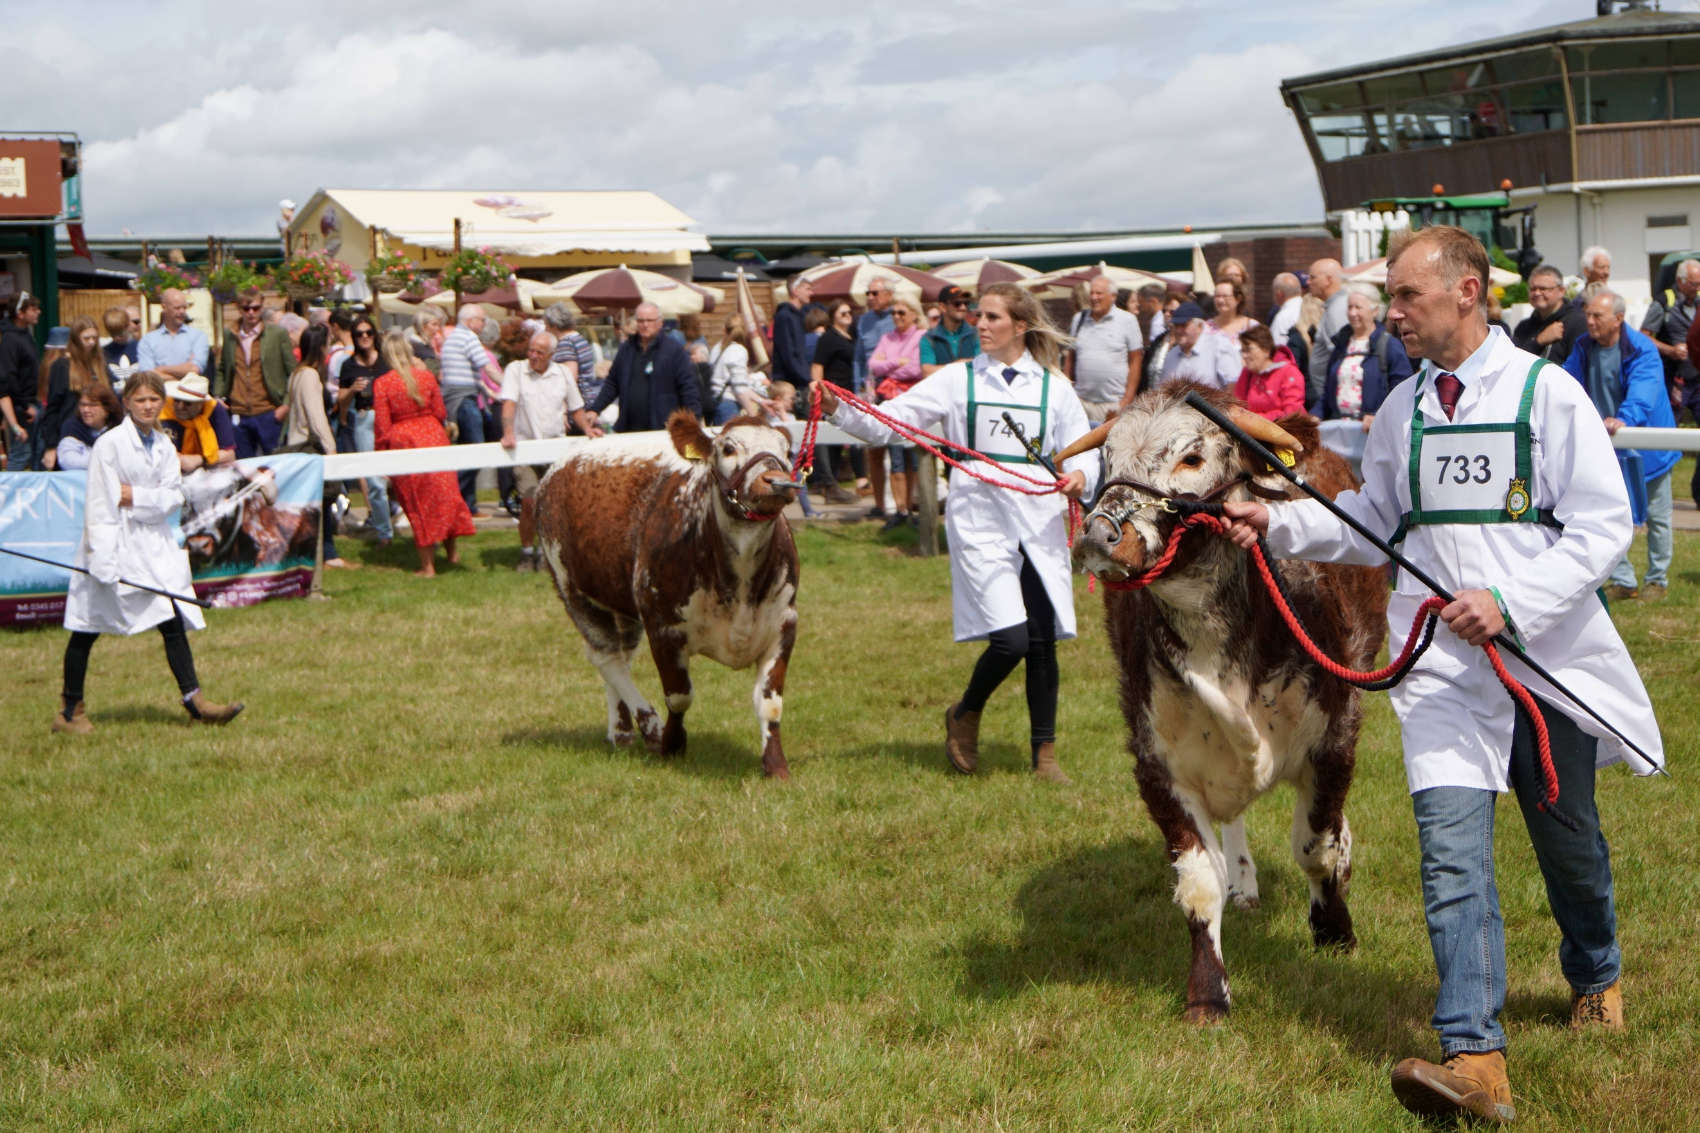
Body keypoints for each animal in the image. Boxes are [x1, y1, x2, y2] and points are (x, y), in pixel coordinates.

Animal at [537, 413, 802, 775]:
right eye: (729, 448)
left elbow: (770, 703)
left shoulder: (784, 624)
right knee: (607, 658)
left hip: (623, 605)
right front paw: (672, 744)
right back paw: (648, 727)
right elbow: (679, 696)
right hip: (573, 591)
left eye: (787, 450)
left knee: (619, 658)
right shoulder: (662, 626)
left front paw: (775, 765)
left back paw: (621, 730)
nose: (776, 481)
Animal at [1067, 381, 1387, 1020]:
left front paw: (1334, 930)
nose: (1097, 533)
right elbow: (1197, 881)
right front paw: (1208, 992)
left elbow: (1316, 846)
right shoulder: (1158, 766)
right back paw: (1242, 878)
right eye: (1107, 460)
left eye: (1191, 458)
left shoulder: (1335, 737)